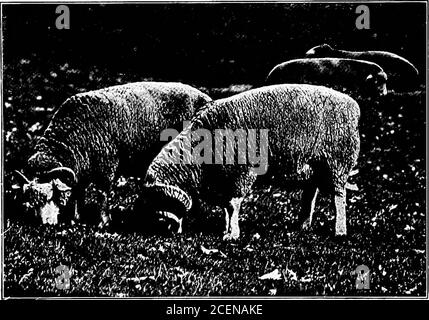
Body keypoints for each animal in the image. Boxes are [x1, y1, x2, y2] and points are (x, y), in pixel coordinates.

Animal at [15, 82, 212, 228]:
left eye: (51, 196)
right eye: (32, 200)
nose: (45, 225)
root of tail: (206, 97)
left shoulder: (107, 167)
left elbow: (103, 194)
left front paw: (104, 223)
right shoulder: (81, 170)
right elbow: (79, 193)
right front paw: (76, 218)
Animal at [142, 84, 360, 239]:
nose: (164, 230)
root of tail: (354, 106)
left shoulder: (243, 173)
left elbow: (233, 204)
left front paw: (233, 234)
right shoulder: (226, 178)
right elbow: (227, 206)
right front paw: (227, 229)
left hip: (337, 162)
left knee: (339, 197)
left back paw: (340, 230)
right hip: (313, 167)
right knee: (310, 194)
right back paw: (303, 225)